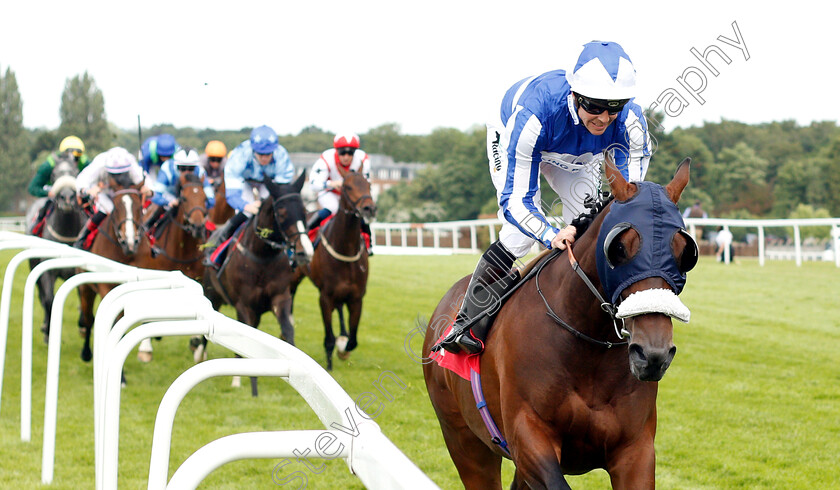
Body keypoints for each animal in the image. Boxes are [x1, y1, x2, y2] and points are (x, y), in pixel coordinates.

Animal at [26, 161, 88, 340]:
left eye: (75, 171)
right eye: (53, 174)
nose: (66, 197)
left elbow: (82, 299)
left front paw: (83, 326)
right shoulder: (48, 270)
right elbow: (48, 299)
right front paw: (48, 331)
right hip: (33, 265)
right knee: (41, 296)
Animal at [201, 174, 316, 392]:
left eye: (305, 211)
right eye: (281, 212)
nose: (305, 252)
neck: (262, 257)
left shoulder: (280, 297)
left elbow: (288, 329)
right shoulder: (243, 304)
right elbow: (242, 337)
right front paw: (239, 380)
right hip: (212, 293)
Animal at [292, 163, 378, 370]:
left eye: (369, 185)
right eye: (347, 187)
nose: (369, 208)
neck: (345, 249)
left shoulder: (356, 298)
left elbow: (353, 341)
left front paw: (343, 348)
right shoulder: (325, 296)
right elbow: (329, 338)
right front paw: (330, 363)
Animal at [426, 159, 696, 488]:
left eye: (685, 252)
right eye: (619, 248)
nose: (653, 354)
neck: (587, 347)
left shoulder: (636, 450)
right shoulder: (529, 437)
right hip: (464, 442)